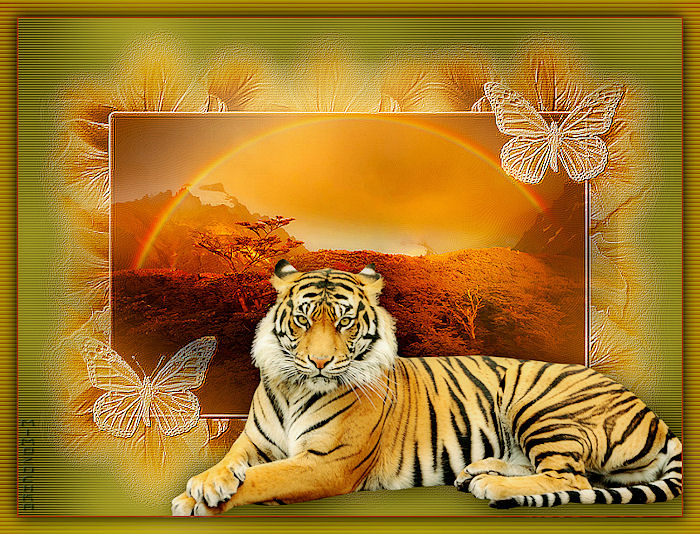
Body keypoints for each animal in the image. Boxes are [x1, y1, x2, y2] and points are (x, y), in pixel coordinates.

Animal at [171, 261, 682, 515]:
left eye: (344, 322)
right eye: (303, 320)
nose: (319, 361)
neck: (297, 387)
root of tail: (654, 415)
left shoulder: (325, 464)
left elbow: (264, 479)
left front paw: (196, 499)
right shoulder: (253, 444)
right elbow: (229, 463)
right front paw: (203, 484)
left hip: (542, 407)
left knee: (572, 478)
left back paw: (492, 486)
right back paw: (478, 471)